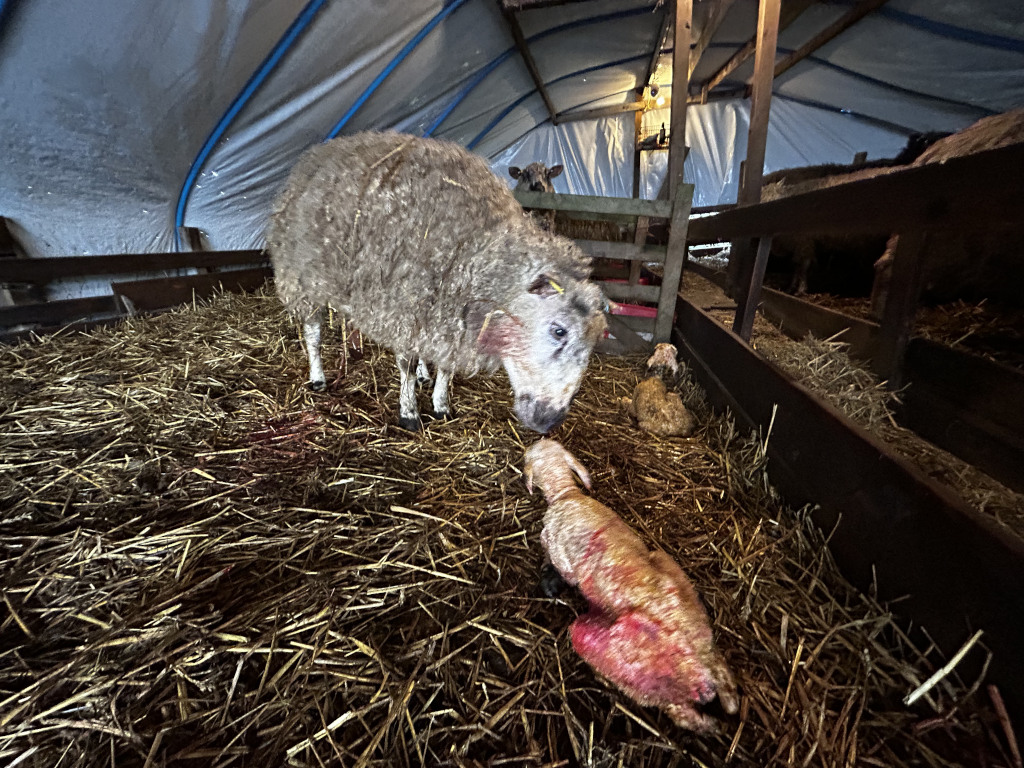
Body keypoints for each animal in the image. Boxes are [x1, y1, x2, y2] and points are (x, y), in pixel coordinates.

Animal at [266, 132, 607, 433]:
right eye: (558, 330)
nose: (549, 421)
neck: (476, 252)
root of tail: (319, 152)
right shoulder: (405, 305)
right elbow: (406, 362)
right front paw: (409, 413)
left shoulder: (448, 313)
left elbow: (445, 365)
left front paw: (441, 404)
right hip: (303, 276)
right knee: (313, 333)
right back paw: (318, 377)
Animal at [523, 439, 738, 731]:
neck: (565, 492)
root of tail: (700, 677)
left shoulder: (553, 545)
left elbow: (555, 562)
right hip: (683, 596)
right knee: (727, 690)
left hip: (595, 645)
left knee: (681, 715)